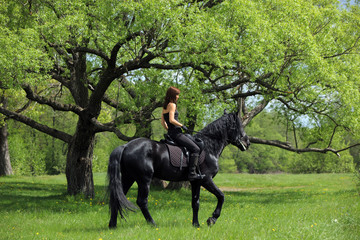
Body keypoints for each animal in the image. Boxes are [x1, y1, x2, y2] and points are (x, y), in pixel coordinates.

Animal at [107, 110, 250, 227]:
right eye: (239, 125)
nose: (248, 142)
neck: (209, 147)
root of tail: (126, 146)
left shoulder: (196, 182)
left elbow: (195, 203)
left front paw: (196, 224)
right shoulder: (206, 180)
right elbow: (221, 196)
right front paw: (212, 219)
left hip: (128, 178)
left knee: (117, 197)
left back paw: (112, 225)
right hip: (144, 180)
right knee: (141, 201)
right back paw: (152, 223)